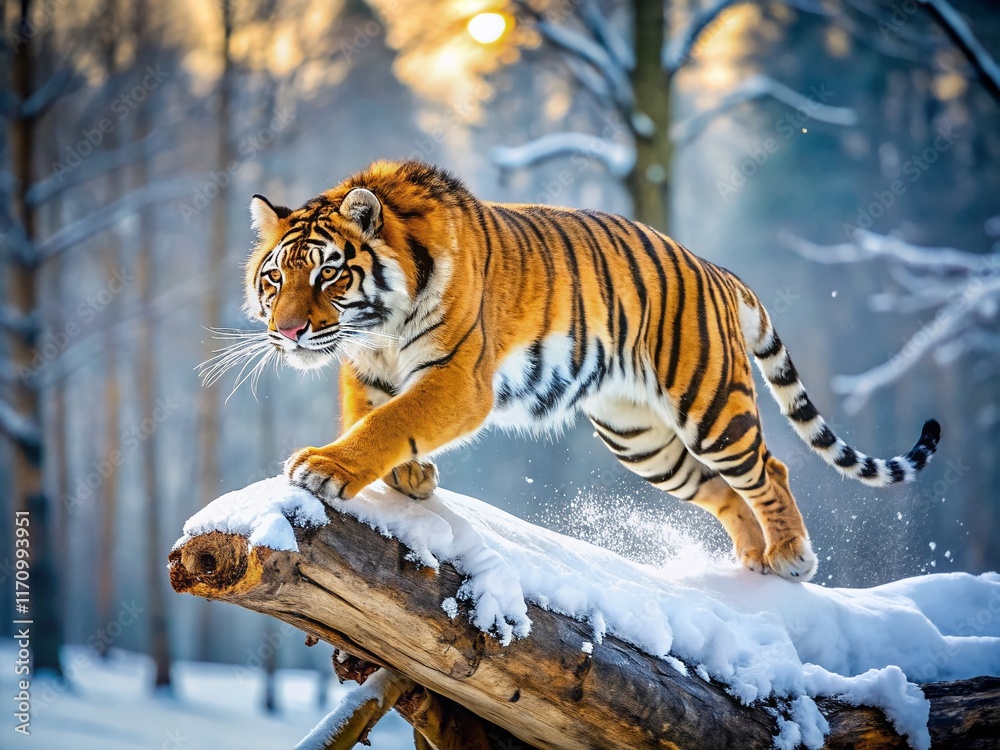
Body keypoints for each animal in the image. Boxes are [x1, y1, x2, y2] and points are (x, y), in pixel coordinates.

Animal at [240, 159, 940, 582]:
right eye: (275, 278)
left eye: (328, 273)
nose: (288, 331)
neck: (377, 328)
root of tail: (716, 269)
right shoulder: (366, 369)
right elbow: (372, 416)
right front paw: (409, 477)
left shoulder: (458, 379)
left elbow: (391, 421)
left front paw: (326, 468)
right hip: (642, 440)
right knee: (719, 488)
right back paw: (751, 558)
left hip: (710, 403)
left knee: (770, 467)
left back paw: (792, 554)